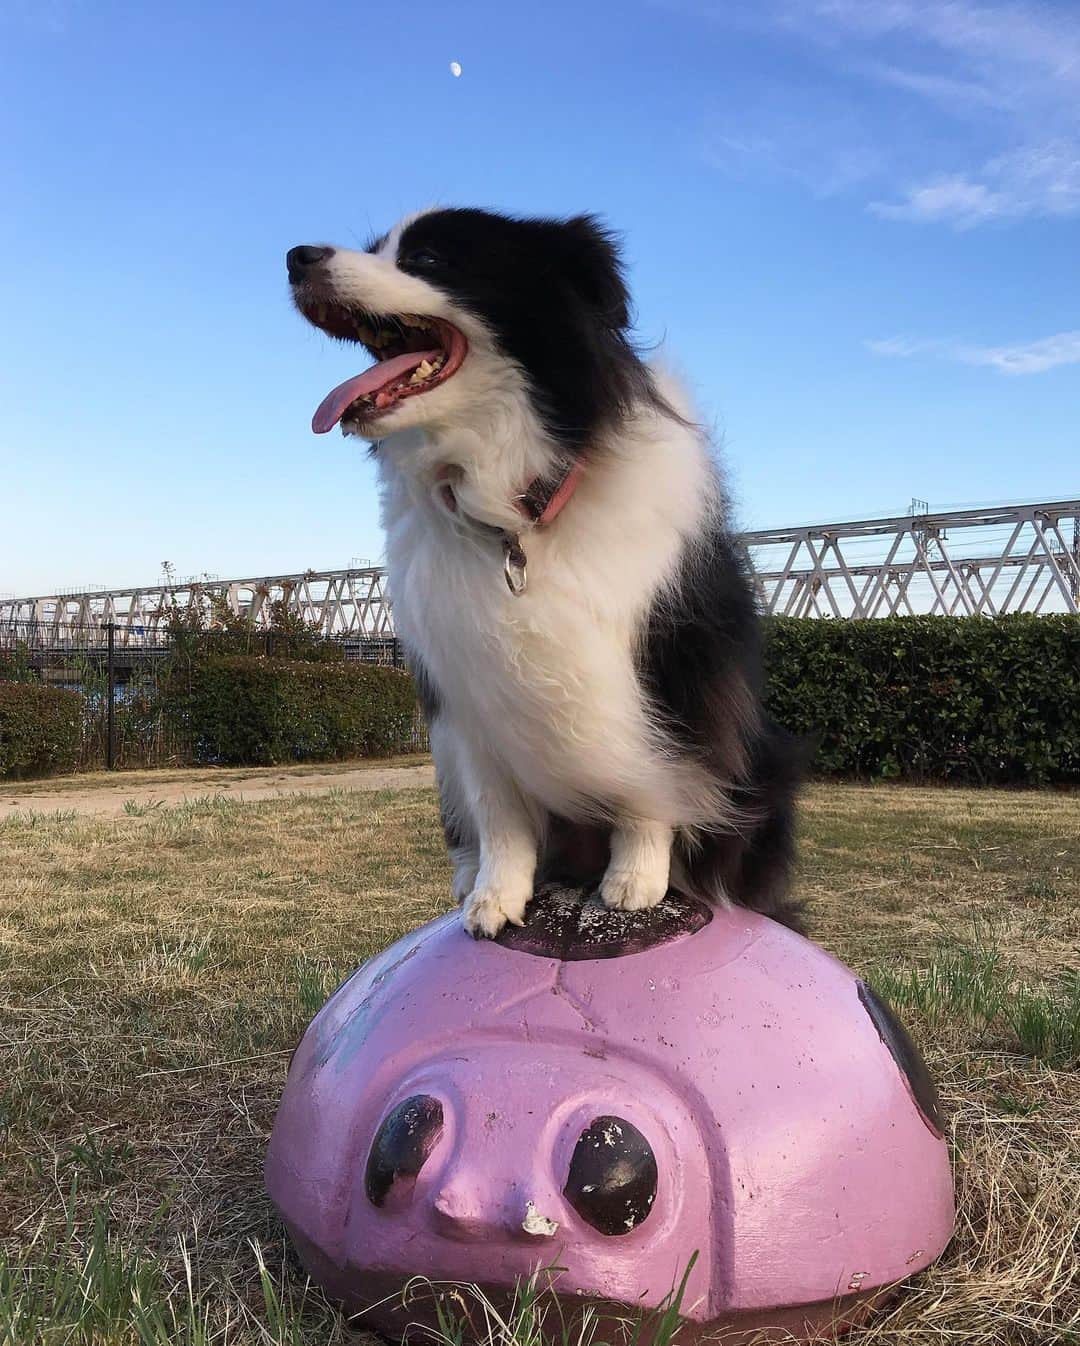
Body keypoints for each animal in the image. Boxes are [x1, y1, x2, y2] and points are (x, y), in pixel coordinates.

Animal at [285, 212, 797, 947]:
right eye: (378, 248)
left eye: (427, 258)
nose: (296, 257)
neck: (516, 508)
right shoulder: (469, 688)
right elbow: (498, 812)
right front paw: (496, 895)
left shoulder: (668, 662)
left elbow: (654, 775)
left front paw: (635, 880)